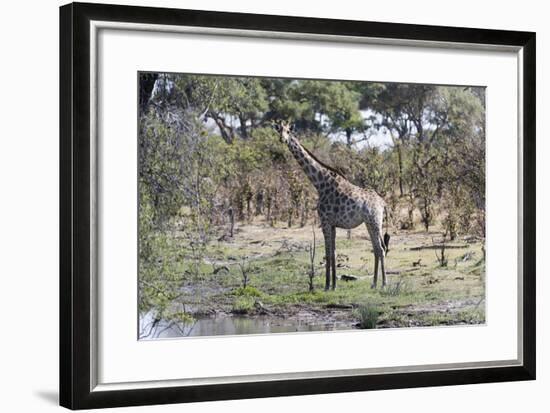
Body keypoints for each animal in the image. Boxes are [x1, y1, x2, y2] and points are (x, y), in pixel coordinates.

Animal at [278, 121, 390, 290]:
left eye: (289, 131)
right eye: (279, 130)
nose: (282, 139)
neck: (319, 183)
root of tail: (382, 202)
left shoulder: (325, 221)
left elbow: (328, 253)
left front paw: (326, 286)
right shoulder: (332, 224)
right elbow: (333, 253)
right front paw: (333, 285)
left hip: (375, 221)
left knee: (381, 249)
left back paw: (383, 284)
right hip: (369, 223)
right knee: (377, 249)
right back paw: (374, 284)